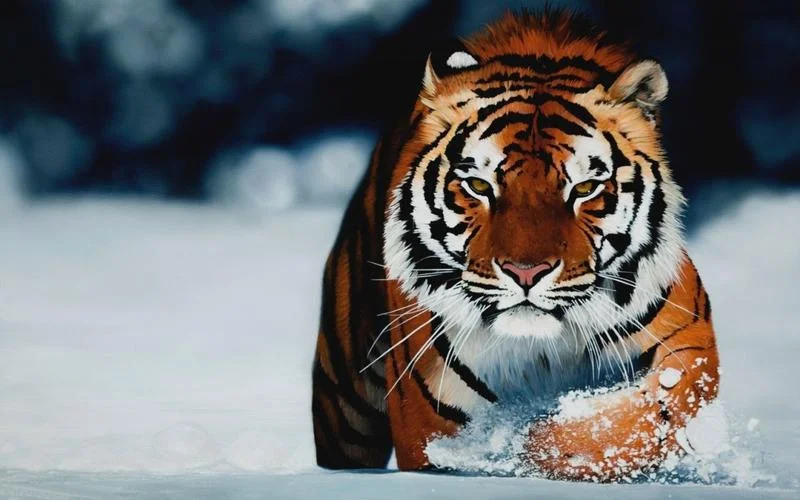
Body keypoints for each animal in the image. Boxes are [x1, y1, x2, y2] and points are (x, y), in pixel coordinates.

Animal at [311, 9, 719, 482]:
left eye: (584, 188)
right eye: (478, 185)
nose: (526, 273)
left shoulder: (689, 343)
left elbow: (633, 420)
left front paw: (534, 445)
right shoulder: (428, 415)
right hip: (345, 401)